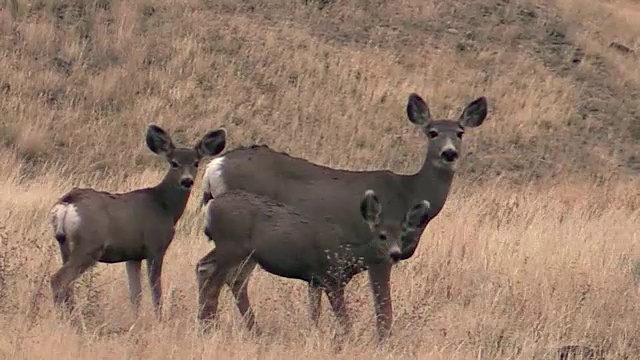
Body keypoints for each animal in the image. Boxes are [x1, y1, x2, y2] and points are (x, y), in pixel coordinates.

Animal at [50, 124, 226, 318]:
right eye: (174, 163)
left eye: (196, 163)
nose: (187, 181)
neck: (165, 206)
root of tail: (66, 204)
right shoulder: (155, 246)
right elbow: (156, 291)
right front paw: (159, 319)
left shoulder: (132, 255)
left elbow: (136, 295)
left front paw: (136, 319)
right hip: (89, 245)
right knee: (58, 279)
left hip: (65, 245)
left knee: (67, 284)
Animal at [195, 188, 430, 334]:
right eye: (382, 235)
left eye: (402, 236)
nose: (395, 254)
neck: (346, 254)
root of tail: (211, 204)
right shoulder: (330, 277)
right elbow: (343, 317)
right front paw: (348, 338)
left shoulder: (314, 280)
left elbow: (314, 313)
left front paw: (314, 332)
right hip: (231, 245)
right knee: (213, 277)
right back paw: (209, 326)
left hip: (240, 252)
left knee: (213, 271)